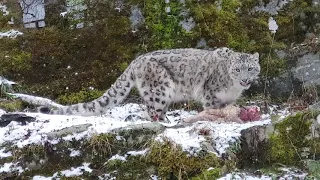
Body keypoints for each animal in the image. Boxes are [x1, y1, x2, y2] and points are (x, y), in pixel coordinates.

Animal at [40, 47, 260, 121]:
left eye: (251, 68)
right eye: (237, 69)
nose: (245, 80)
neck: (234, 88)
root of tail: (136, 60)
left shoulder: (228, 99)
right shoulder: (210, 95)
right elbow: (213, 109)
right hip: (161, 89)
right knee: (152, 109)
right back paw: (163, 122)